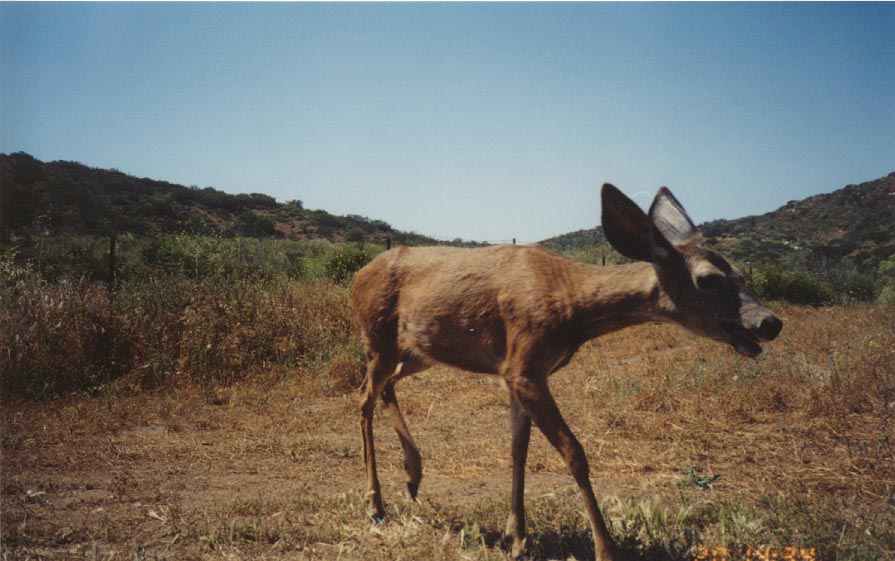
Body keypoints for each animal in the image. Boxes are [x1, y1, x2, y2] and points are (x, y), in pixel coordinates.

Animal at [352, 184, 784, 560]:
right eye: (707, 279)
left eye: (742, 273)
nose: (770, 322)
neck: (574, 305)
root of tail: (359, 274)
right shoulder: (523, 365)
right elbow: (574, 453)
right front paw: (606, 549)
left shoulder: (516, 372)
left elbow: (519, 449)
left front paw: (516, 537)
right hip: (379, 338)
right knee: (362, 398)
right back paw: (375, 504)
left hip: (420, 351)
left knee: (385, 387)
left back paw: (413, 475)